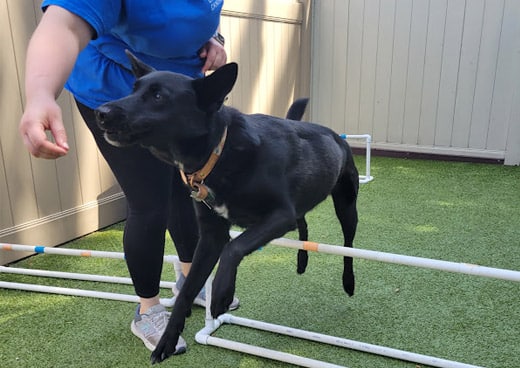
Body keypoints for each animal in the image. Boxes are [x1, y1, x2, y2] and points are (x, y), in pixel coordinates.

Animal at [94, 51, 358, 362]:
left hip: (346, 206)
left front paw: (221, 293)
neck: (219, 153)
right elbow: (186, 292)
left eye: (158, 96)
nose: (101, 112)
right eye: (133, 89)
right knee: (303, 224)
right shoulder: (211, 235)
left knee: (348, 246)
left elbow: (234, 247)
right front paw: (167, 342)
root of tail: (332, 134)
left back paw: (349, 282)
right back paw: (302, 262)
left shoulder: (278, 216)